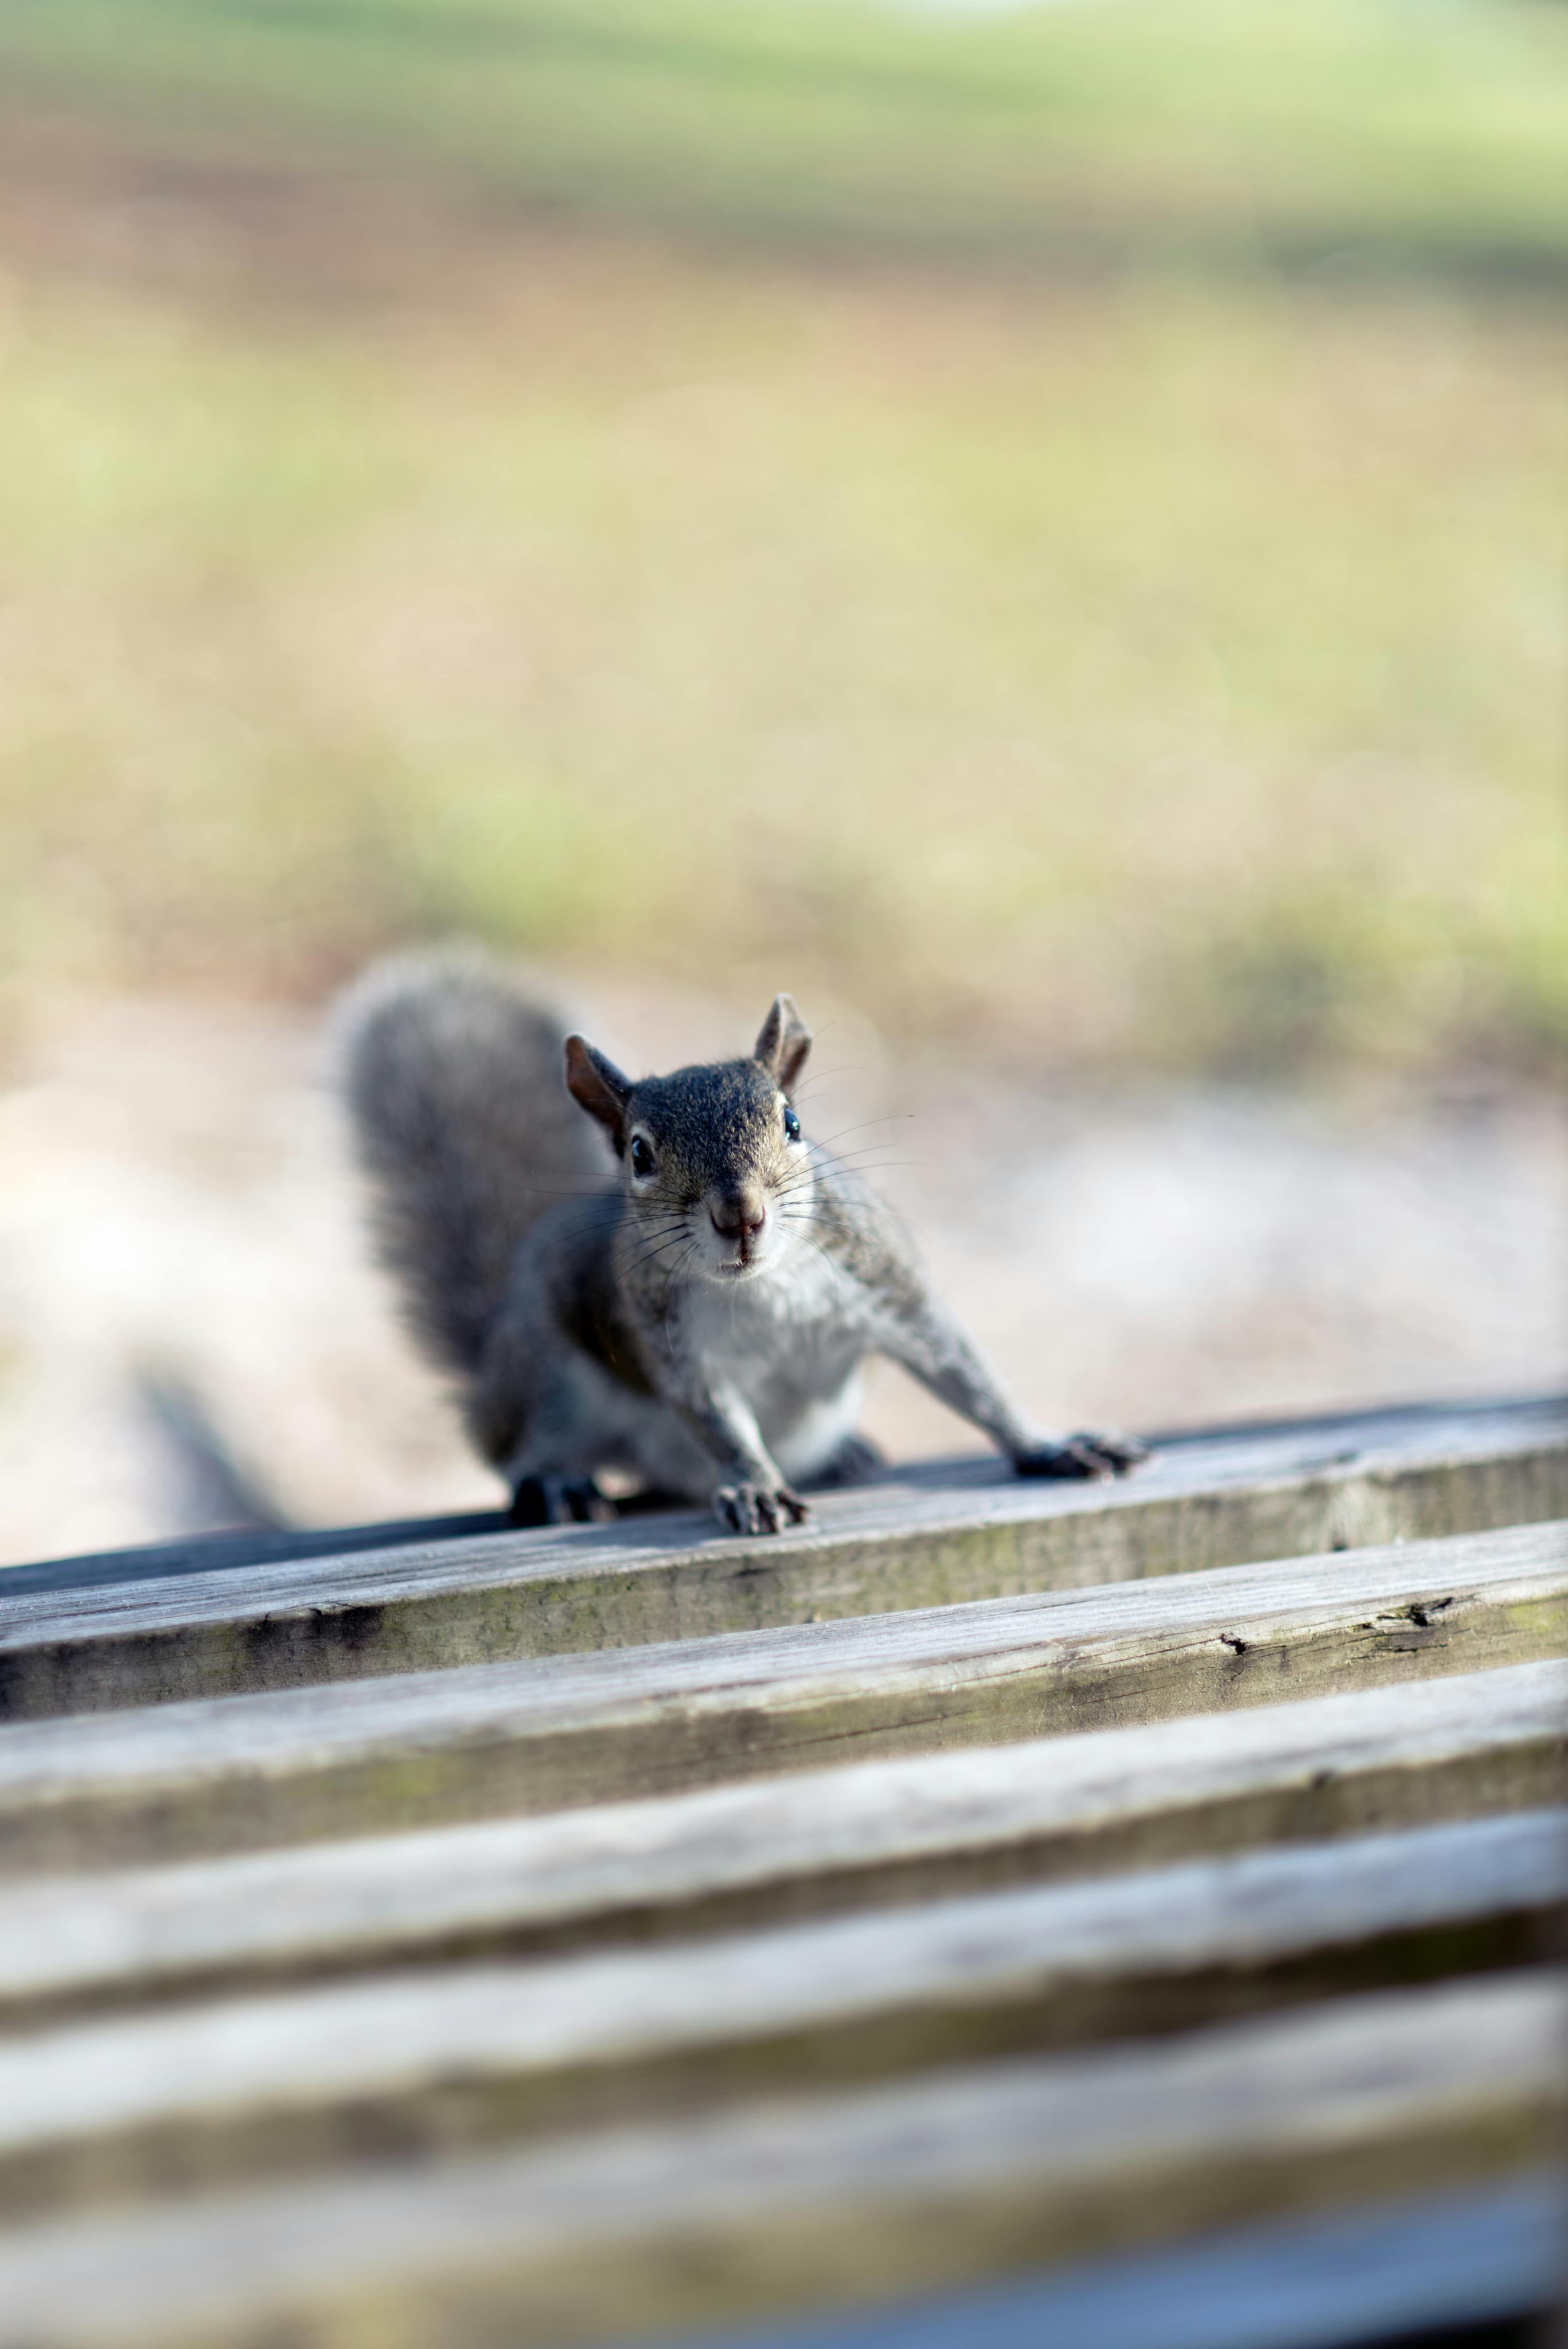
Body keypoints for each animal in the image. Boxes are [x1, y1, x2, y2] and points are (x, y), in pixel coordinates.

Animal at [337, 953, 1148, 1535]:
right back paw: (557, 1481)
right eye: (638, 1153)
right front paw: (756, 1487)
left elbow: (970, 1377)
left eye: (792, 1122)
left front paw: (1050, 1445)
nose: (741, 1214)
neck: (766, 1284)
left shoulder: (891, 1285)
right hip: (545, 1376)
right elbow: (719, 1422)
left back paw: (843, 1454)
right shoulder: (672, 1344)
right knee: (515, 1448)